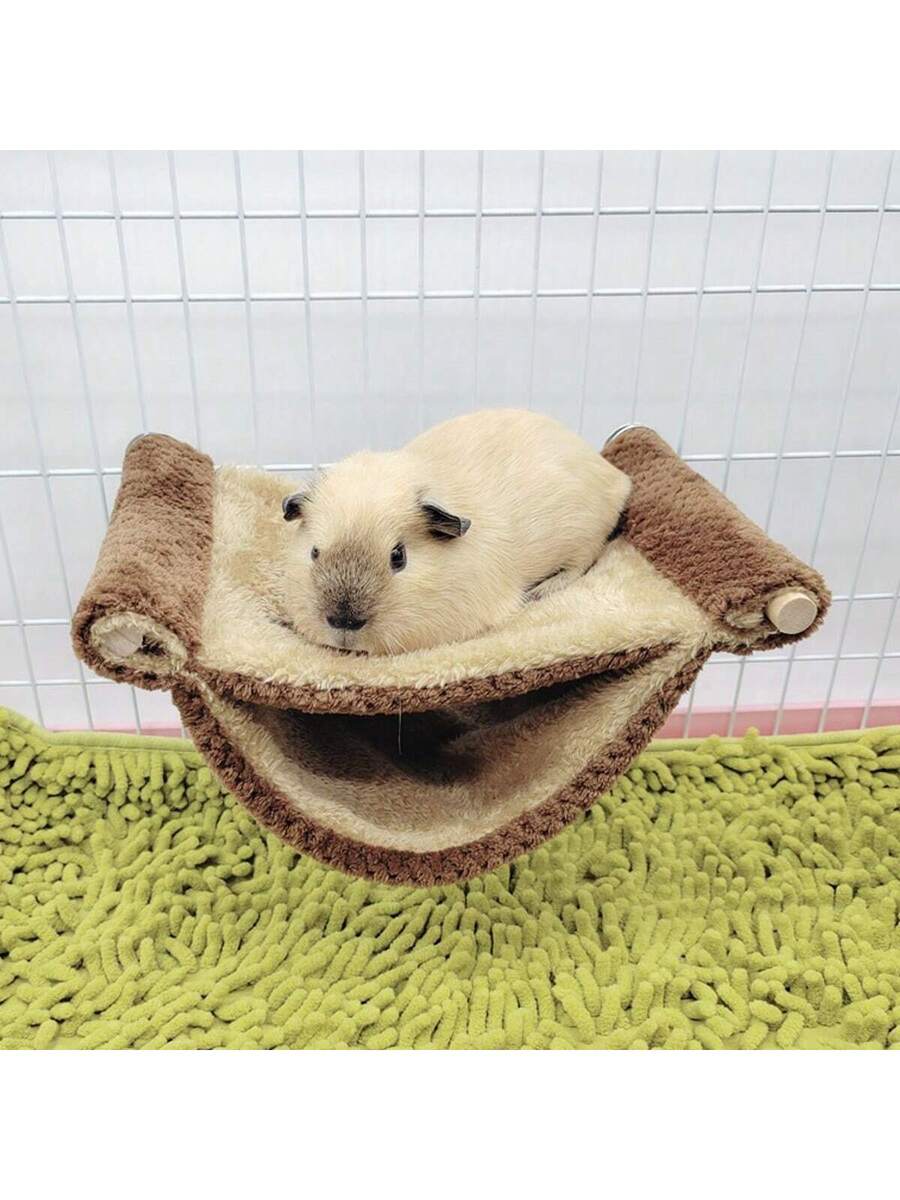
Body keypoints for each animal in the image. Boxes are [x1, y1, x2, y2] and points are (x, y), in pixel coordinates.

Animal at [278, 408, 631, 654]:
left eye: (398, 557)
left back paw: (542, 591)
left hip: (584, 538)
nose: (343, 622)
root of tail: (617, 479)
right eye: (314, 552)